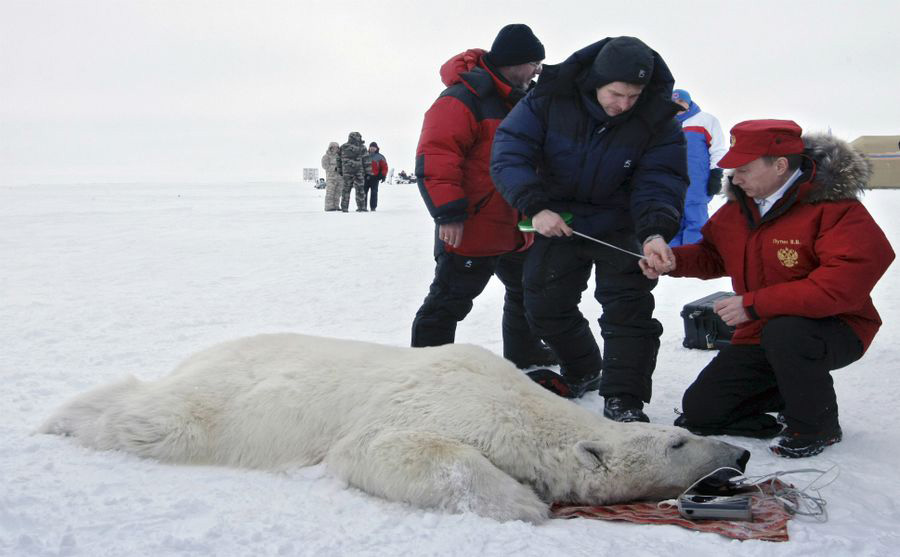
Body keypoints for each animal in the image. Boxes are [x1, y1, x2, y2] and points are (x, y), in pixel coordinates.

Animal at [38, 334, 748, 520]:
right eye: (678, 440)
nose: (740, 454)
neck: (524, 407)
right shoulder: (442, 400)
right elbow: (383, 449)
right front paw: (524, 502)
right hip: (227, 403)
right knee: (157, 419)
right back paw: (63, 418)